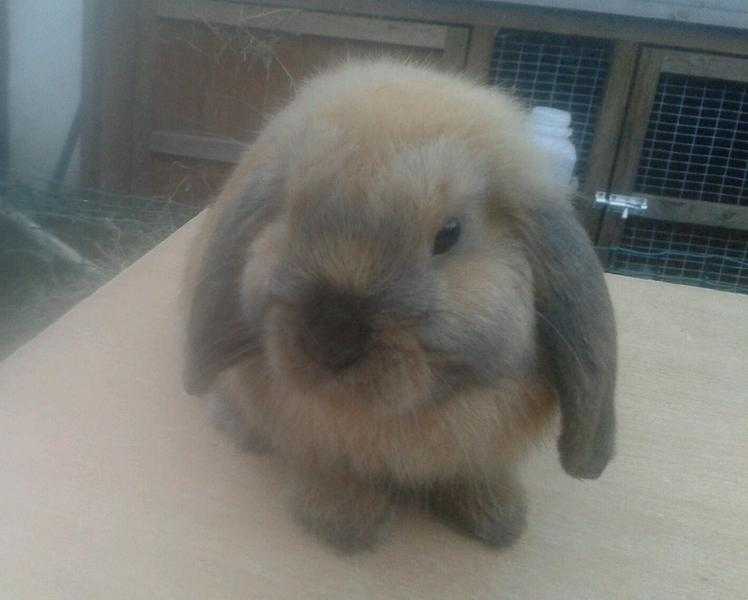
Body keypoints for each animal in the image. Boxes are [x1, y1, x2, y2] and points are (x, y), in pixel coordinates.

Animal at [181, 58, 612, 552]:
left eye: (448, 235)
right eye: (289, 214)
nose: (331, 337)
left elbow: (474, 474)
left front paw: (499, 521)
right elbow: (338, 473)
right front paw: (341, 524)